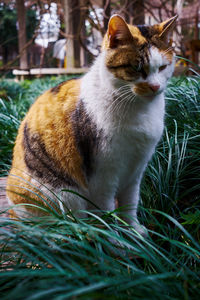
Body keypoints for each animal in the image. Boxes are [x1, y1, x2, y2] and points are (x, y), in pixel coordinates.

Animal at [7, 14, 177, 234]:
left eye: (163, 67)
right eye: (136, 67)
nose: (155, 86)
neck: (139, 110)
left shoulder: (136, 170)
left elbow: (130, 203)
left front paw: (134, 230)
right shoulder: (102, 177)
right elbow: (106, 213)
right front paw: (114, 238)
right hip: (63, 195)